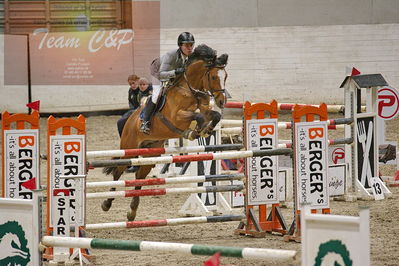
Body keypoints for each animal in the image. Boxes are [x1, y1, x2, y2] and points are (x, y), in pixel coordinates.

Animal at [101, 44, 230, 221]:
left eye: (225, 77)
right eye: (213, 77)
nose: (222, 101)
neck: (190, 89)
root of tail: (130, 120)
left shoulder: (205, 108)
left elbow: (214, 115)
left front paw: (206, 130)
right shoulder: (176, 117)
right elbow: (196, 116)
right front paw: (195, 132)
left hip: (150, 152)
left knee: (140, 176)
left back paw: (132, 211)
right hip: (129, 148)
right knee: (118, 172)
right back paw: (107, 203)